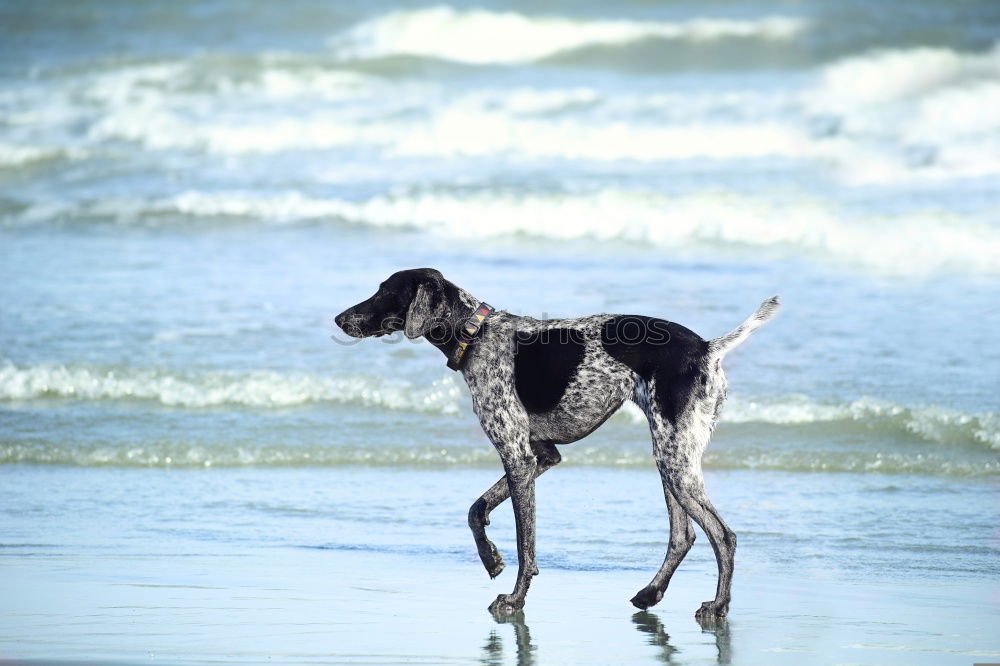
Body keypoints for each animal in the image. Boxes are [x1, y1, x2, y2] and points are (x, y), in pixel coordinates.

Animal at [336, 266, 780, 616]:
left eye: (385, 292)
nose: (339, 319)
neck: (476, 334)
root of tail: (707, 348)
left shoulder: (518, 457)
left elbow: (525, 545)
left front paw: (514, 599)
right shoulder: (541, 456)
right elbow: (476, 510)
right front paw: (490, 559)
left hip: (675, 460)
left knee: (722, 535)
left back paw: (718, 606)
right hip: (671, 459)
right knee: (683, 536)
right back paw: (650, 594)